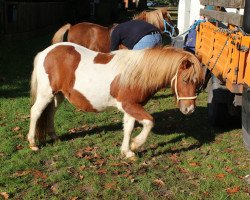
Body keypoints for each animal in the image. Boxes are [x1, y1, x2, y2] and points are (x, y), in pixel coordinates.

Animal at [27, 43, 203, 159]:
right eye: (185, 80)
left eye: (198, 83)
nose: (189, 110)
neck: (137, 73)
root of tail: (45, 52)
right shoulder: (129, 105)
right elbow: (149, 122)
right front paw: (135, 144)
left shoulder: (131, 106)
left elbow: (128, 128)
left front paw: (127, 151)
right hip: (46, 94)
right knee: (36, 112)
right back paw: (33, 143)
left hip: (58, 95)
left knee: (50, 113)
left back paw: (54, 137)